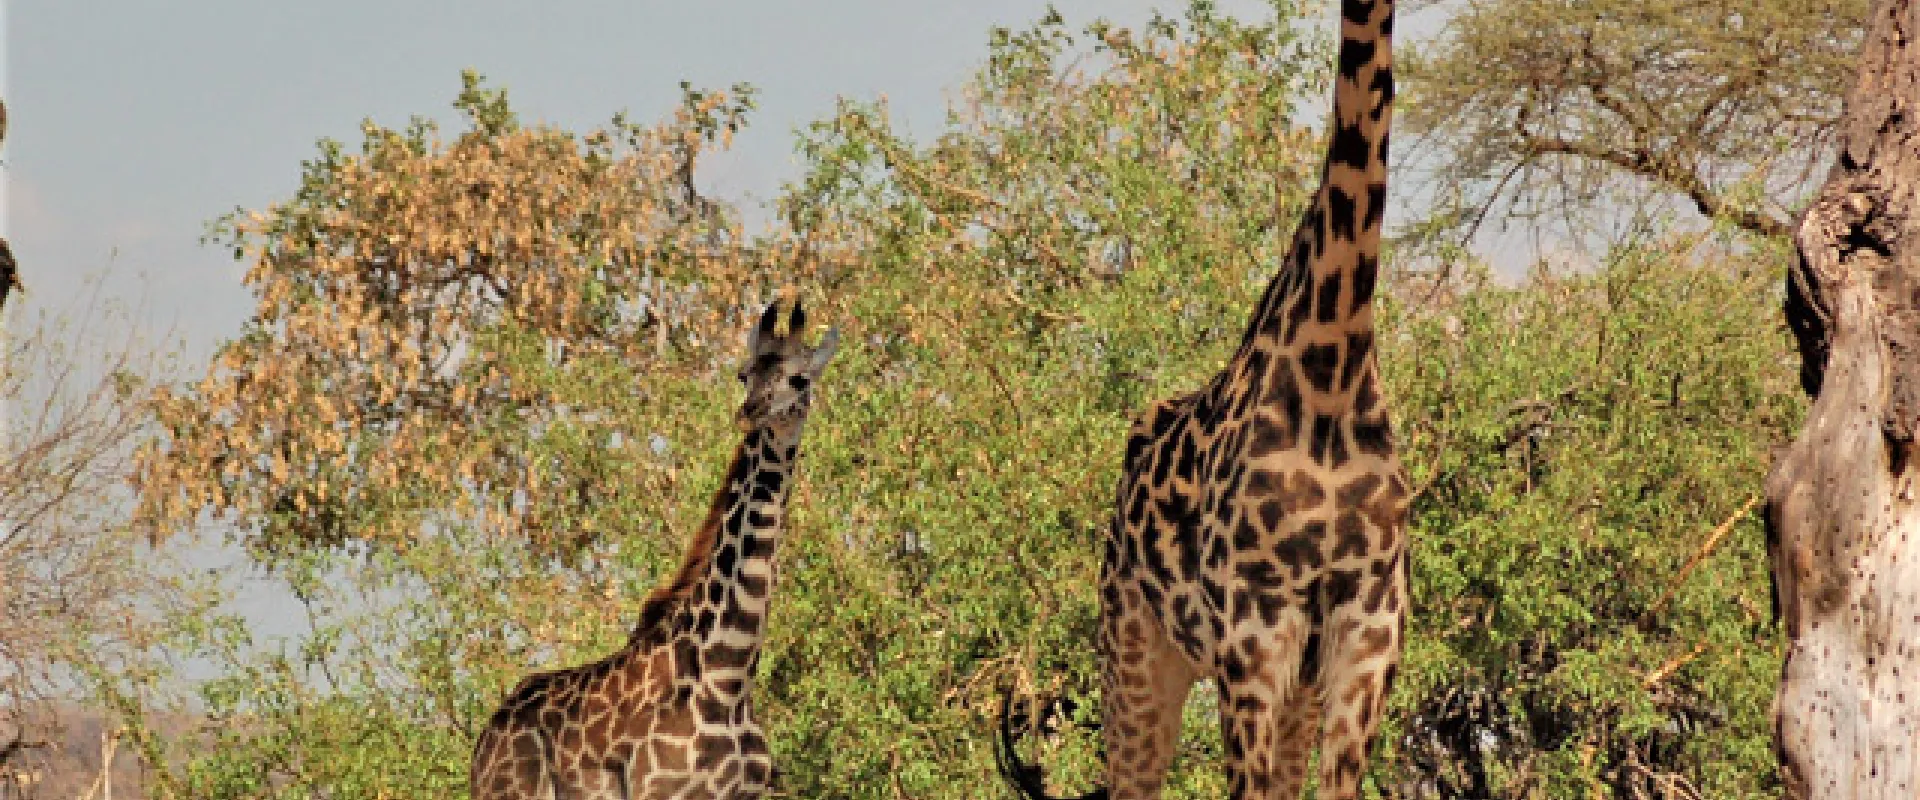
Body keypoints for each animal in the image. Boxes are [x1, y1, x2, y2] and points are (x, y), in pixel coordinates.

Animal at [471, 300, 840, 800]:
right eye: (744, 374)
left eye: (799, 379)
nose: (752, 412)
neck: (728, 672)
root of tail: (484, 742)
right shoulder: (658, 789)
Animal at [999, 1, 1405, 798]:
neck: (1334, 370)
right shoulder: (1251, 635)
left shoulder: (1367, 633)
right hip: (1136, 651)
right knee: (1133, 778)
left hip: (1289, 681)